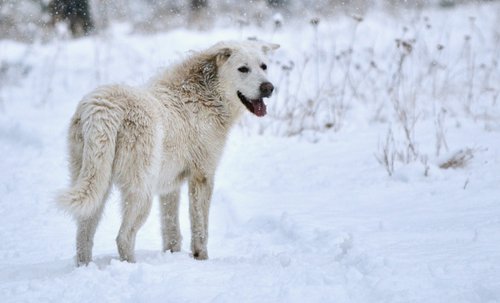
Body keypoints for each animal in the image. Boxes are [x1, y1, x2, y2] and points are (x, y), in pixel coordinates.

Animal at [57, 39, 282, 266]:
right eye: (243, 69)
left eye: (263, 66)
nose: (268, 87)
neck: (205, 96)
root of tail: (104, 108)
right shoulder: (203, 176)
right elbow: (200, 229)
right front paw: (202, 259)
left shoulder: (170, 186)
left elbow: (171, 230)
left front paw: (172, 255)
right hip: (141, 194)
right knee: (123, 238)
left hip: (96, 189)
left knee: (83, 236)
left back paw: (85, 267)